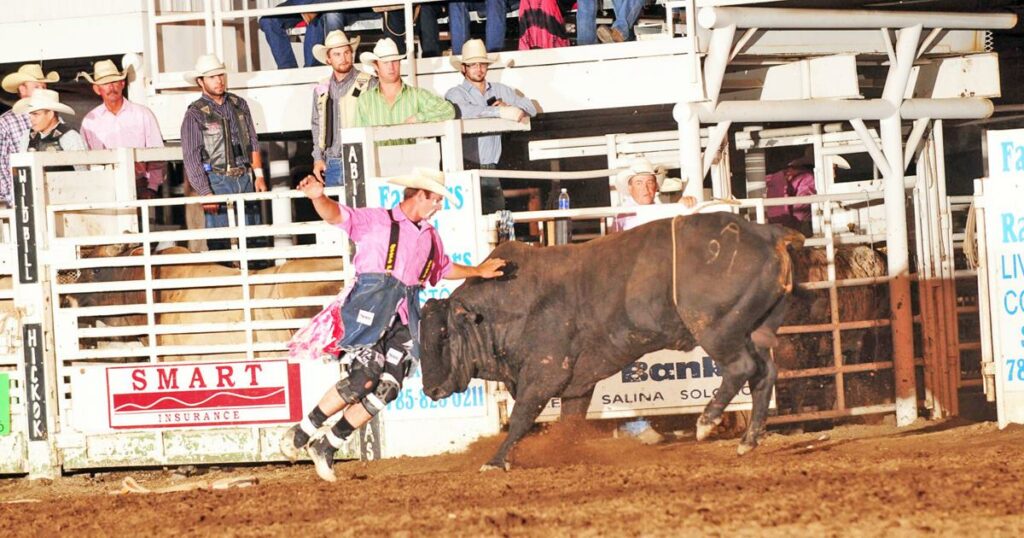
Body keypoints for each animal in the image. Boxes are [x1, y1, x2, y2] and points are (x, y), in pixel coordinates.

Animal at [419, 212, 802, 467]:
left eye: (444, 333)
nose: (430, 389)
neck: (505, 306)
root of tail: (767, 232)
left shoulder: (545, 373)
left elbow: (521, 416)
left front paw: (496, 461)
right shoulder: (576, 385)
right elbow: (569, 422)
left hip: (716, 328)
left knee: (741, 368)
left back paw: (706, 423)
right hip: (756, 329)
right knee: (765, 374)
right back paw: (748, 441)